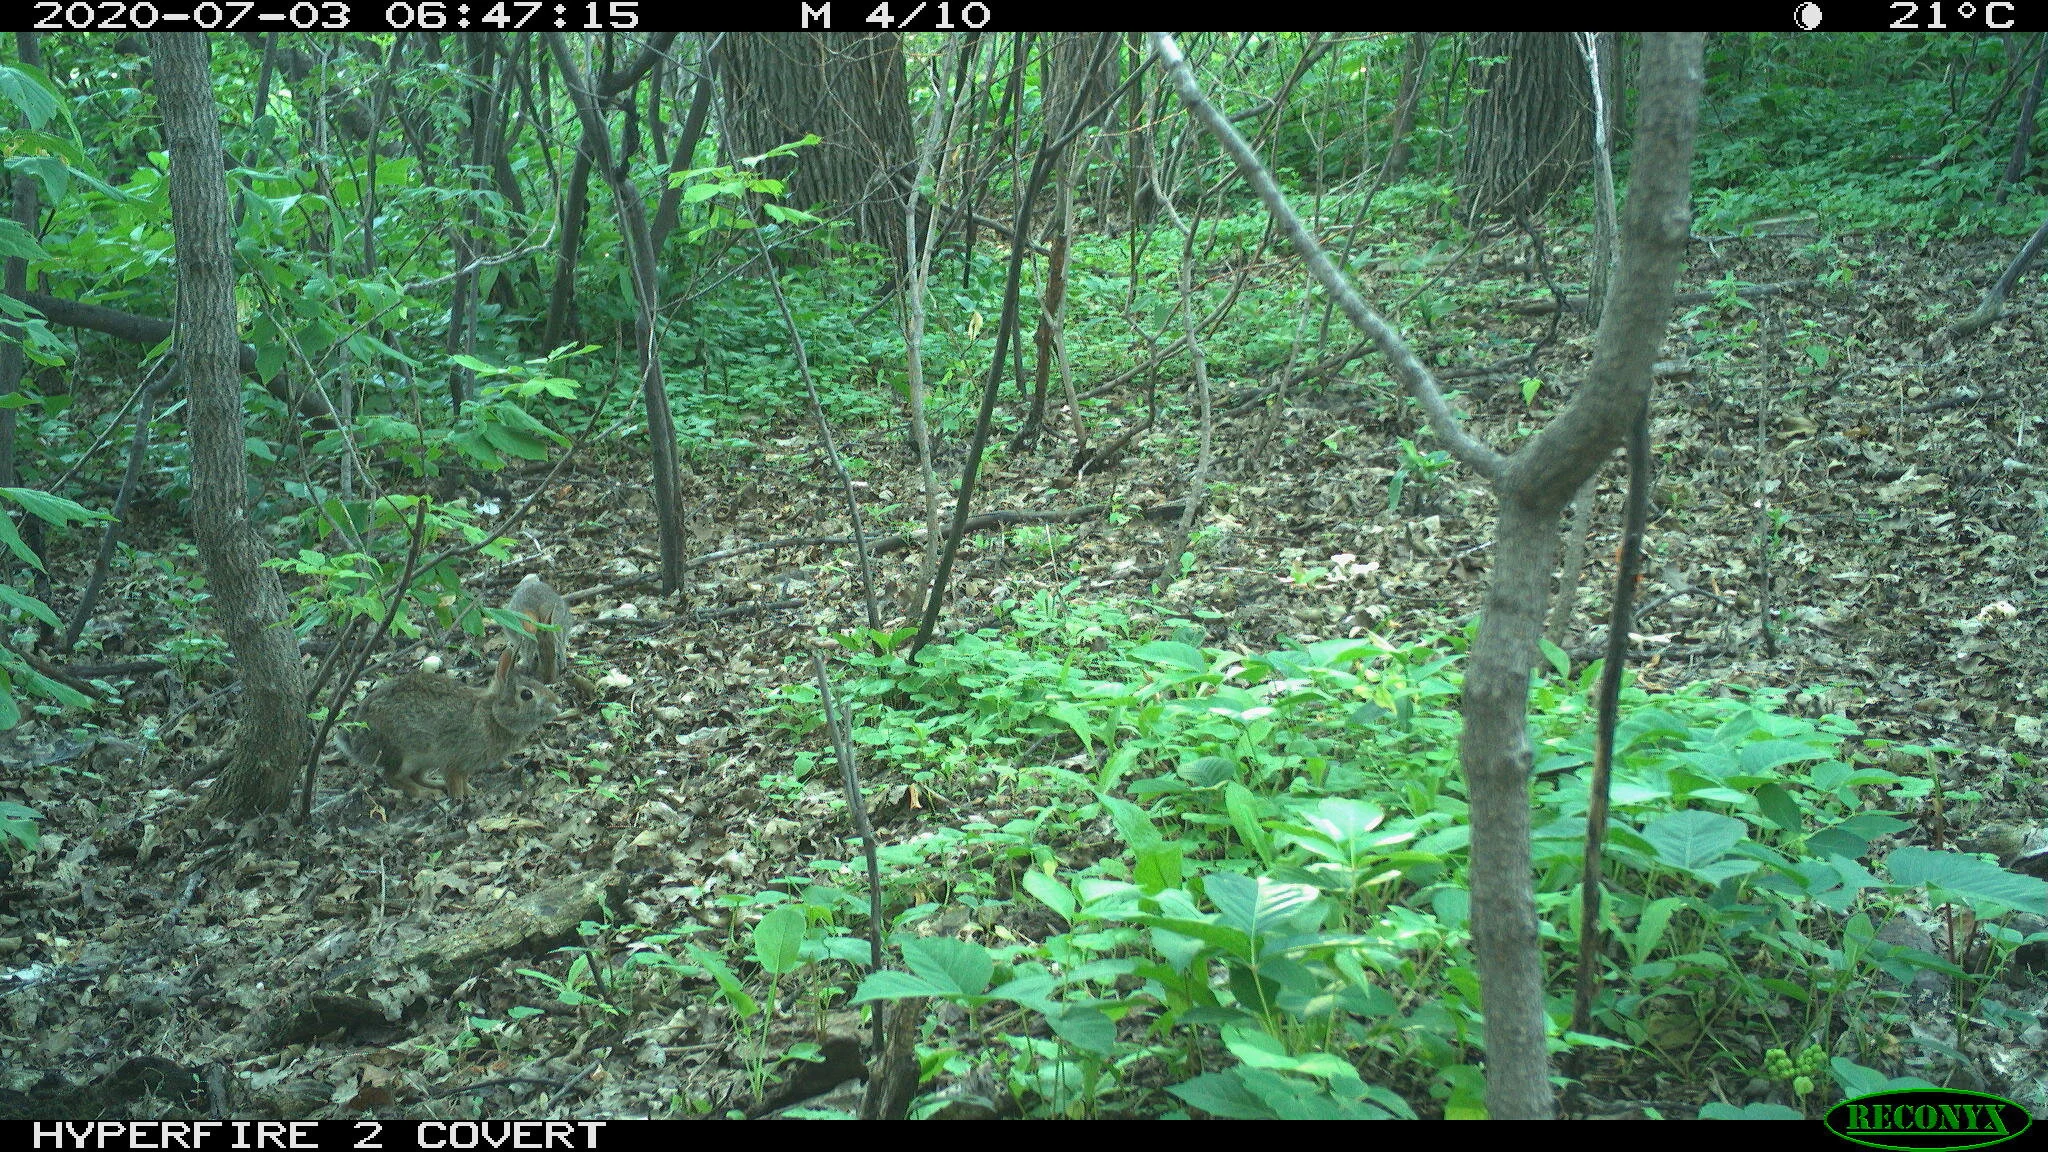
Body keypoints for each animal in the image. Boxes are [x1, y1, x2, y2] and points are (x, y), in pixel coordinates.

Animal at [339, 649, 560, 801]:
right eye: (526, 695)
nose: (557, 703)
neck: (492, 715)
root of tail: (357, 743)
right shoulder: (454, 759)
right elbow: (455, 780)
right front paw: (460, 798)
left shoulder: (466, 765)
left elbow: (463, 779)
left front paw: (472, 792)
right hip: (403, 753)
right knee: (392, 776)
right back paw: (426, 793)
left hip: (423, 760)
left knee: (415, 776)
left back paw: (435, 785)